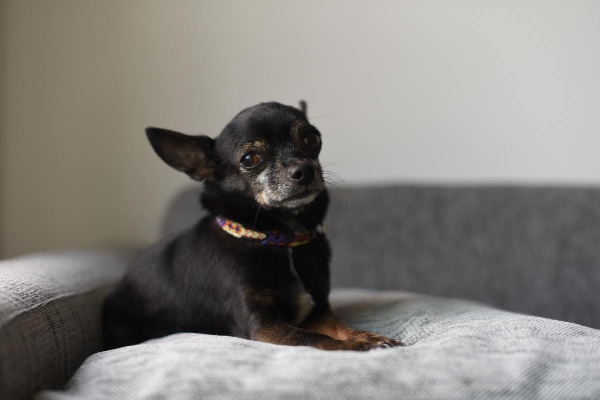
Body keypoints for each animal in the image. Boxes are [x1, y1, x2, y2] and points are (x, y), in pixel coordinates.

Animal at [103, 102, 404, 350]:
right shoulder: (264, 326)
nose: (305, 170)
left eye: (312, 138)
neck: (279, 238)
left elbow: (338, 327)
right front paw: (358, 346)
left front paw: (368, 336)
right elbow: (314, 338)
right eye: (249, 159)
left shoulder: (318, 310)